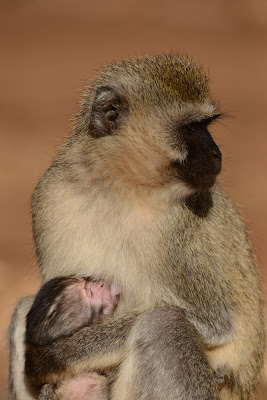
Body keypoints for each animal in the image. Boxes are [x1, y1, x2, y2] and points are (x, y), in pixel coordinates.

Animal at [8, 54, 266, 400]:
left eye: (205, 125)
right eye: (191, 128)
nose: (216, 153)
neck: (121, 187)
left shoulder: (179, 227)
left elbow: (213, 324)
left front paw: (60, 355)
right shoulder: (49, 196)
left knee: (163, 323)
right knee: (25, 308)